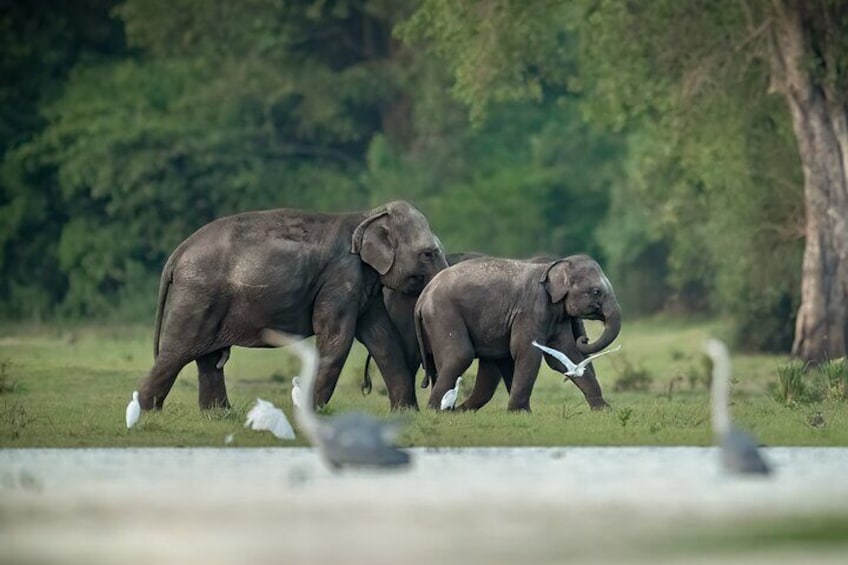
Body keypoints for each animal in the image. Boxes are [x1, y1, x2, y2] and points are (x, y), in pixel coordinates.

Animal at [137, 199, 450, 410]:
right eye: (428, 254)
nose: (426, 382)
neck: (367, 215)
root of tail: (177, 253)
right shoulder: (341, 277)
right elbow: (337, 340)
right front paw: (312, 412)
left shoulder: (364, 285)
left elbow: (382, 338)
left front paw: (406, 413)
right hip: (198, 295)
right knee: (177, 350)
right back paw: (145, 412)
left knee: (207, 359)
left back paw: (219, 415)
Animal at [414, 256, 620, 410]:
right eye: (596, 292)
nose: (584, 338)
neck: (549, 267)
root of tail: (422, 296)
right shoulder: (530, 310)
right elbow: (528, 352)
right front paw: (520, 412)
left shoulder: (556, 315)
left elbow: (566, 353)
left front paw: (604, 410)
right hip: (443, 314)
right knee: (460, 356)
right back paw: (436, 410)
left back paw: (455, 411)